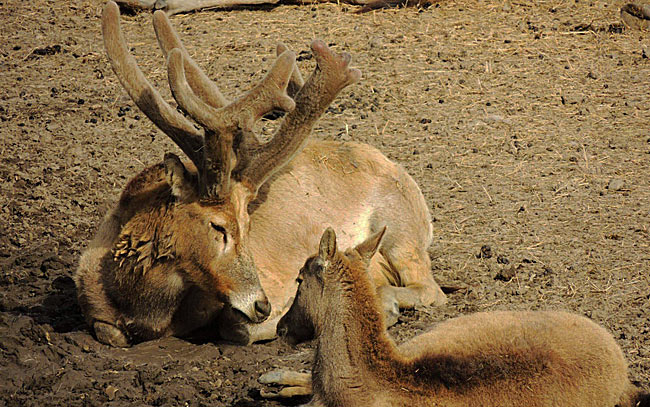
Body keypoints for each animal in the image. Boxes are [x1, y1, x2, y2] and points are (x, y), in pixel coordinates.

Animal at [74, 1, 447, 347]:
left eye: (248, 224)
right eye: (218, 226)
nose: (261, 305)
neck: (140, 306)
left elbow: (236, 327)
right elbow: (109, 332)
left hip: (400, 229)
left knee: (432, 288)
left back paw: (386, 301)